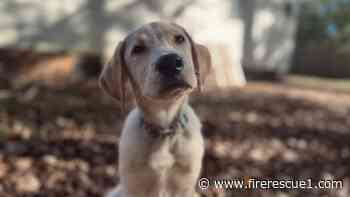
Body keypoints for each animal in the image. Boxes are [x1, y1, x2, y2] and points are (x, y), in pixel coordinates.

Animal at [100, 21, 212, 197]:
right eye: (137, 49)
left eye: (179, 39)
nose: (170, 62)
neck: (164, 130)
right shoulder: (133, 187)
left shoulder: (185, 186)